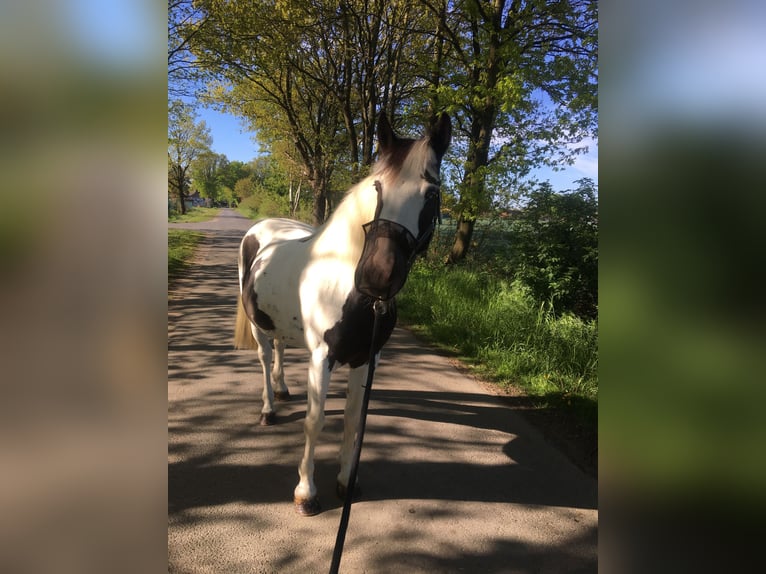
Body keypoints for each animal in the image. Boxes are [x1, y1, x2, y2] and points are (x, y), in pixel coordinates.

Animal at [231, 112, 452, 516]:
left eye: (432, 193)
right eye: (378, 188)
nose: (378, 276)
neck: (349, 287)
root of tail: (262, 228)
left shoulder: (367, 359)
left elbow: (353, 420)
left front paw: (347, 481)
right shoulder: (322, 358)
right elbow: (314, 421)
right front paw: (306, 492)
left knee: (280, 349)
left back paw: (283, 389)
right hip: (258, 327)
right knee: (264, 358)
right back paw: (269, 408)